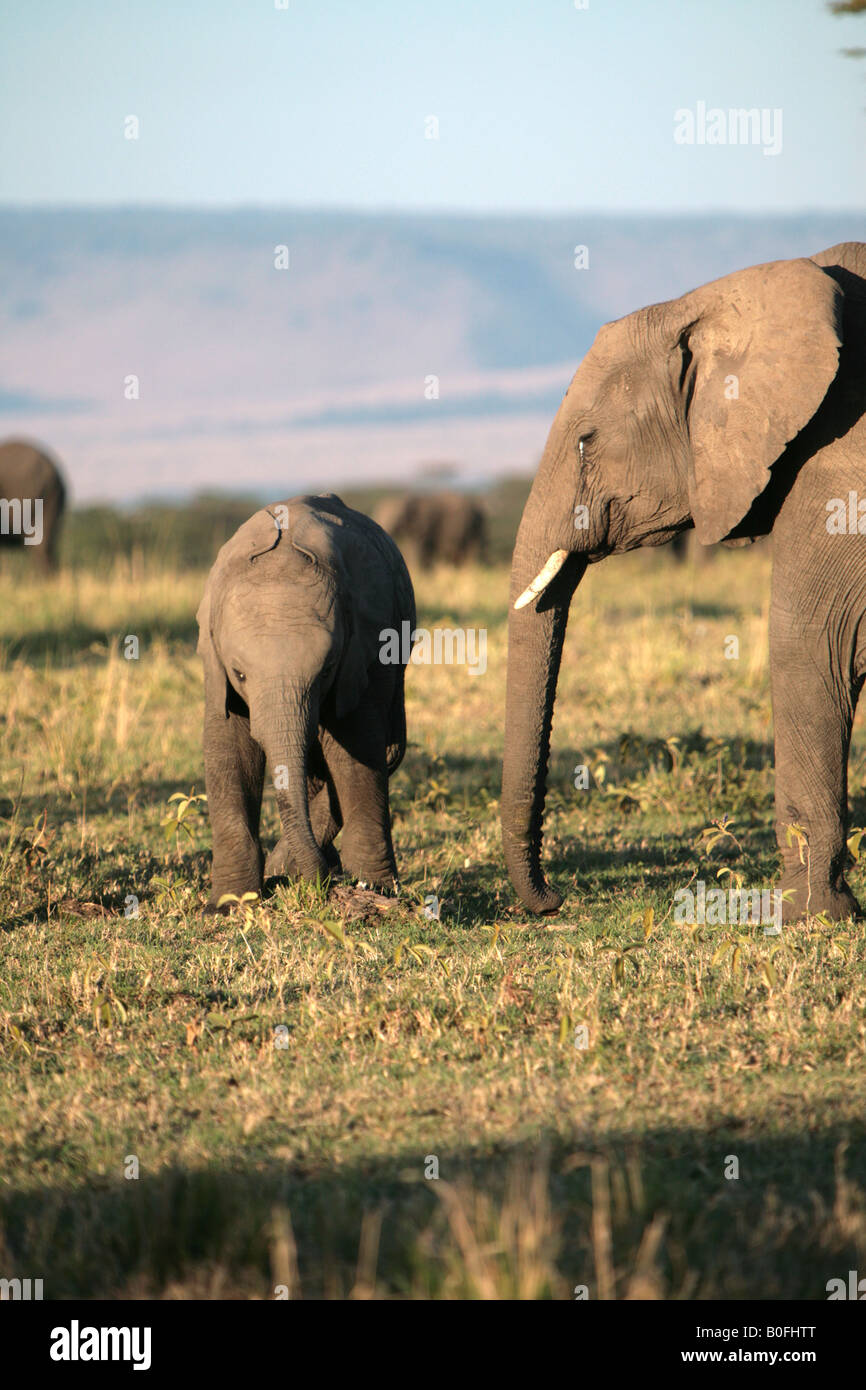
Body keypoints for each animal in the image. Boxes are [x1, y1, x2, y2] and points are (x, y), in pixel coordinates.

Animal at [195, 492, 417, 911]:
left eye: (326, 670)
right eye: (240, 674)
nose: (325, 883)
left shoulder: (364, 647)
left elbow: (356, 750)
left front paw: (374, 889)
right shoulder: (216, 668)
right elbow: (229, 750)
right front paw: (231, 904)